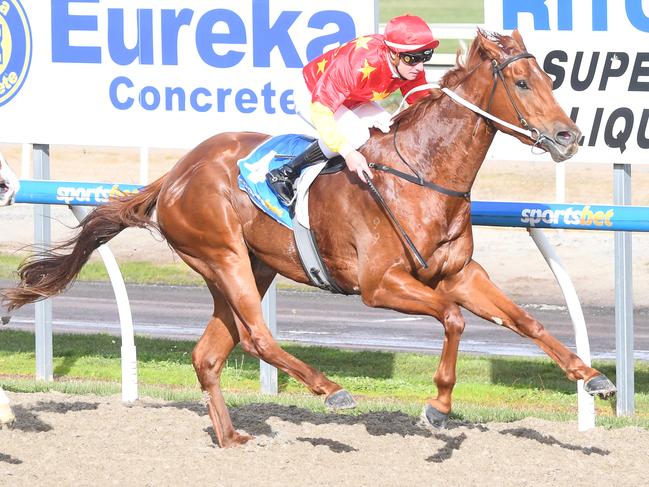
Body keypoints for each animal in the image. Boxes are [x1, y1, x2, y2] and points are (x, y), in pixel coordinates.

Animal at [2, 30, 616, 448]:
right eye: (521, 82)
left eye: (549, 78)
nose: (569, 136)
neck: (420, 174)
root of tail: (173, 176)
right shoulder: (380, 285)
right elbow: (453, 319)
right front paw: (438, 406)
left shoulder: (460, 273)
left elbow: (525, 320)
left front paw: (593, 377)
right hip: (224, 256)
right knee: (257, 339)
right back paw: (331, 389)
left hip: (250, 267)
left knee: (208, 354)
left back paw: (231, 438)